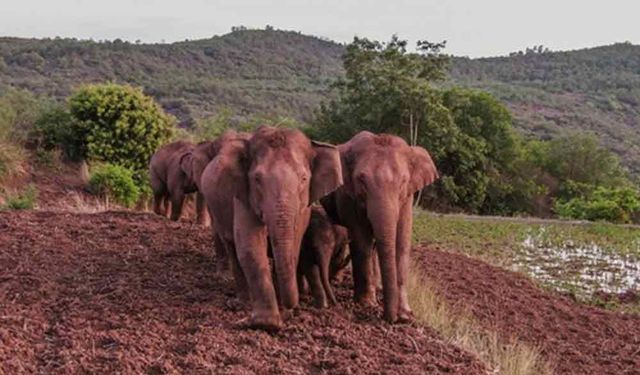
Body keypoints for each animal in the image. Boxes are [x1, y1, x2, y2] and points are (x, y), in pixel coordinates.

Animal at [200, 127, 342, 332]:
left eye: (304, 178)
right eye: (257, 179)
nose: (291, 307)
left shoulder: (304, 207)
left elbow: (295, 243)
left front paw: (283, 311)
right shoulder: (243, 196)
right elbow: (250, 245)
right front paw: (267, 324)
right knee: (232, 246)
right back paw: (243, 302)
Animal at [320, 131, 440, 324]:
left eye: (404, 181)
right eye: (361, 180)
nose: (391, 319)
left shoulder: (408, 197)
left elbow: (402, 241)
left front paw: (406, 315)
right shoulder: (348, 195)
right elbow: (361, 240)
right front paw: (367, 304)